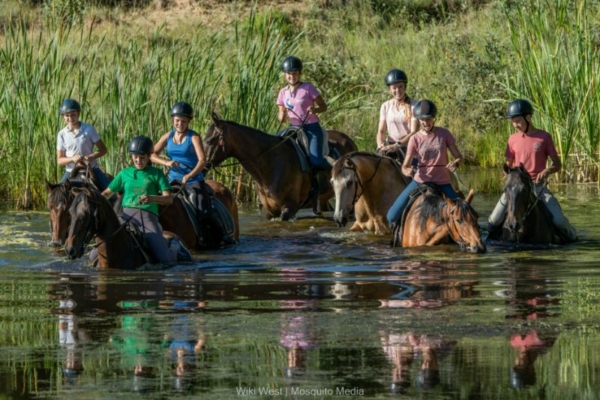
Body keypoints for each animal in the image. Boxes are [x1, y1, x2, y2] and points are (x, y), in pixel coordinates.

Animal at [204, 111, 358, 220]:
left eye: (209, 140)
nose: (203, 166)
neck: (270, 164)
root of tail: (348, 140)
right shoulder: (269, 211)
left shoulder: (289, 207)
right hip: (324, 200)